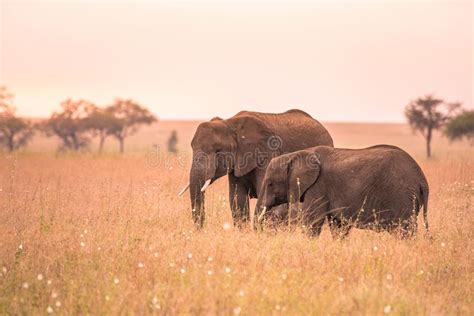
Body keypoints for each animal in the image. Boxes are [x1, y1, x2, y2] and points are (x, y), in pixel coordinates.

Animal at [178, 110, 334, 228]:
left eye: (218, 151)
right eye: (192, 148)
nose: (200, 230)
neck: (230, 123)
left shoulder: (267, 155)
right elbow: (237, 200)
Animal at [258, 145, 432, 237]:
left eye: (270, 184)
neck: (297, 154)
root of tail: (422, 180)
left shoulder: (318, 187)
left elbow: (312, 223)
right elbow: (338, 226)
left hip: (402, 197)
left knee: (405, 230)